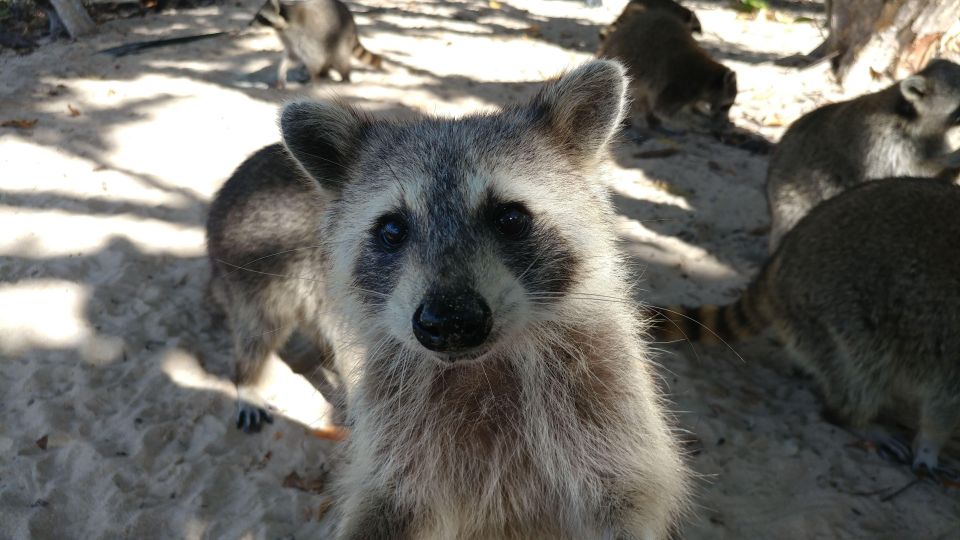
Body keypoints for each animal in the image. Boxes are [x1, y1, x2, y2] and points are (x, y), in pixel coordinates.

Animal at [208, 61, 688, 536]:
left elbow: (627, 492)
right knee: (258, 331)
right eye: (392, 229)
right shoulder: (398, 429)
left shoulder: (605, 396)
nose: (450, 322)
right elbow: (388, 501)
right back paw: (248, 379)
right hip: (259, 264)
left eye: (510, 218)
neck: (482, 367)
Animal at [253, 0, 384, 88]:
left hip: (340, 34)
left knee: (339, 57)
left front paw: (314, 76)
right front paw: (282, 72)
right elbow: (292, 57)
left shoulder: (305, 35)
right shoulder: (289, 40)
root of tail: (352, 22)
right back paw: (325, 72)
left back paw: (344, 76)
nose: (250, 24)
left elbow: (315, 58)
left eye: (260, 17)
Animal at [656, 178, 960, 472]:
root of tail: (784, 253)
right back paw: (856, 419)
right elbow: (943, 403)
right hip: (829, 311)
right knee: (859, 371)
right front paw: (929, 446)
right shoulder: (952, 345)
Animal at [764, 59, 960, 251]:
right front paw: (950, 159)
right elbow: (899, 174)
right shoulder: (879, 143)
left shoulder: (932, 140)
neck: (907, 114)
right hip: (793, 196)